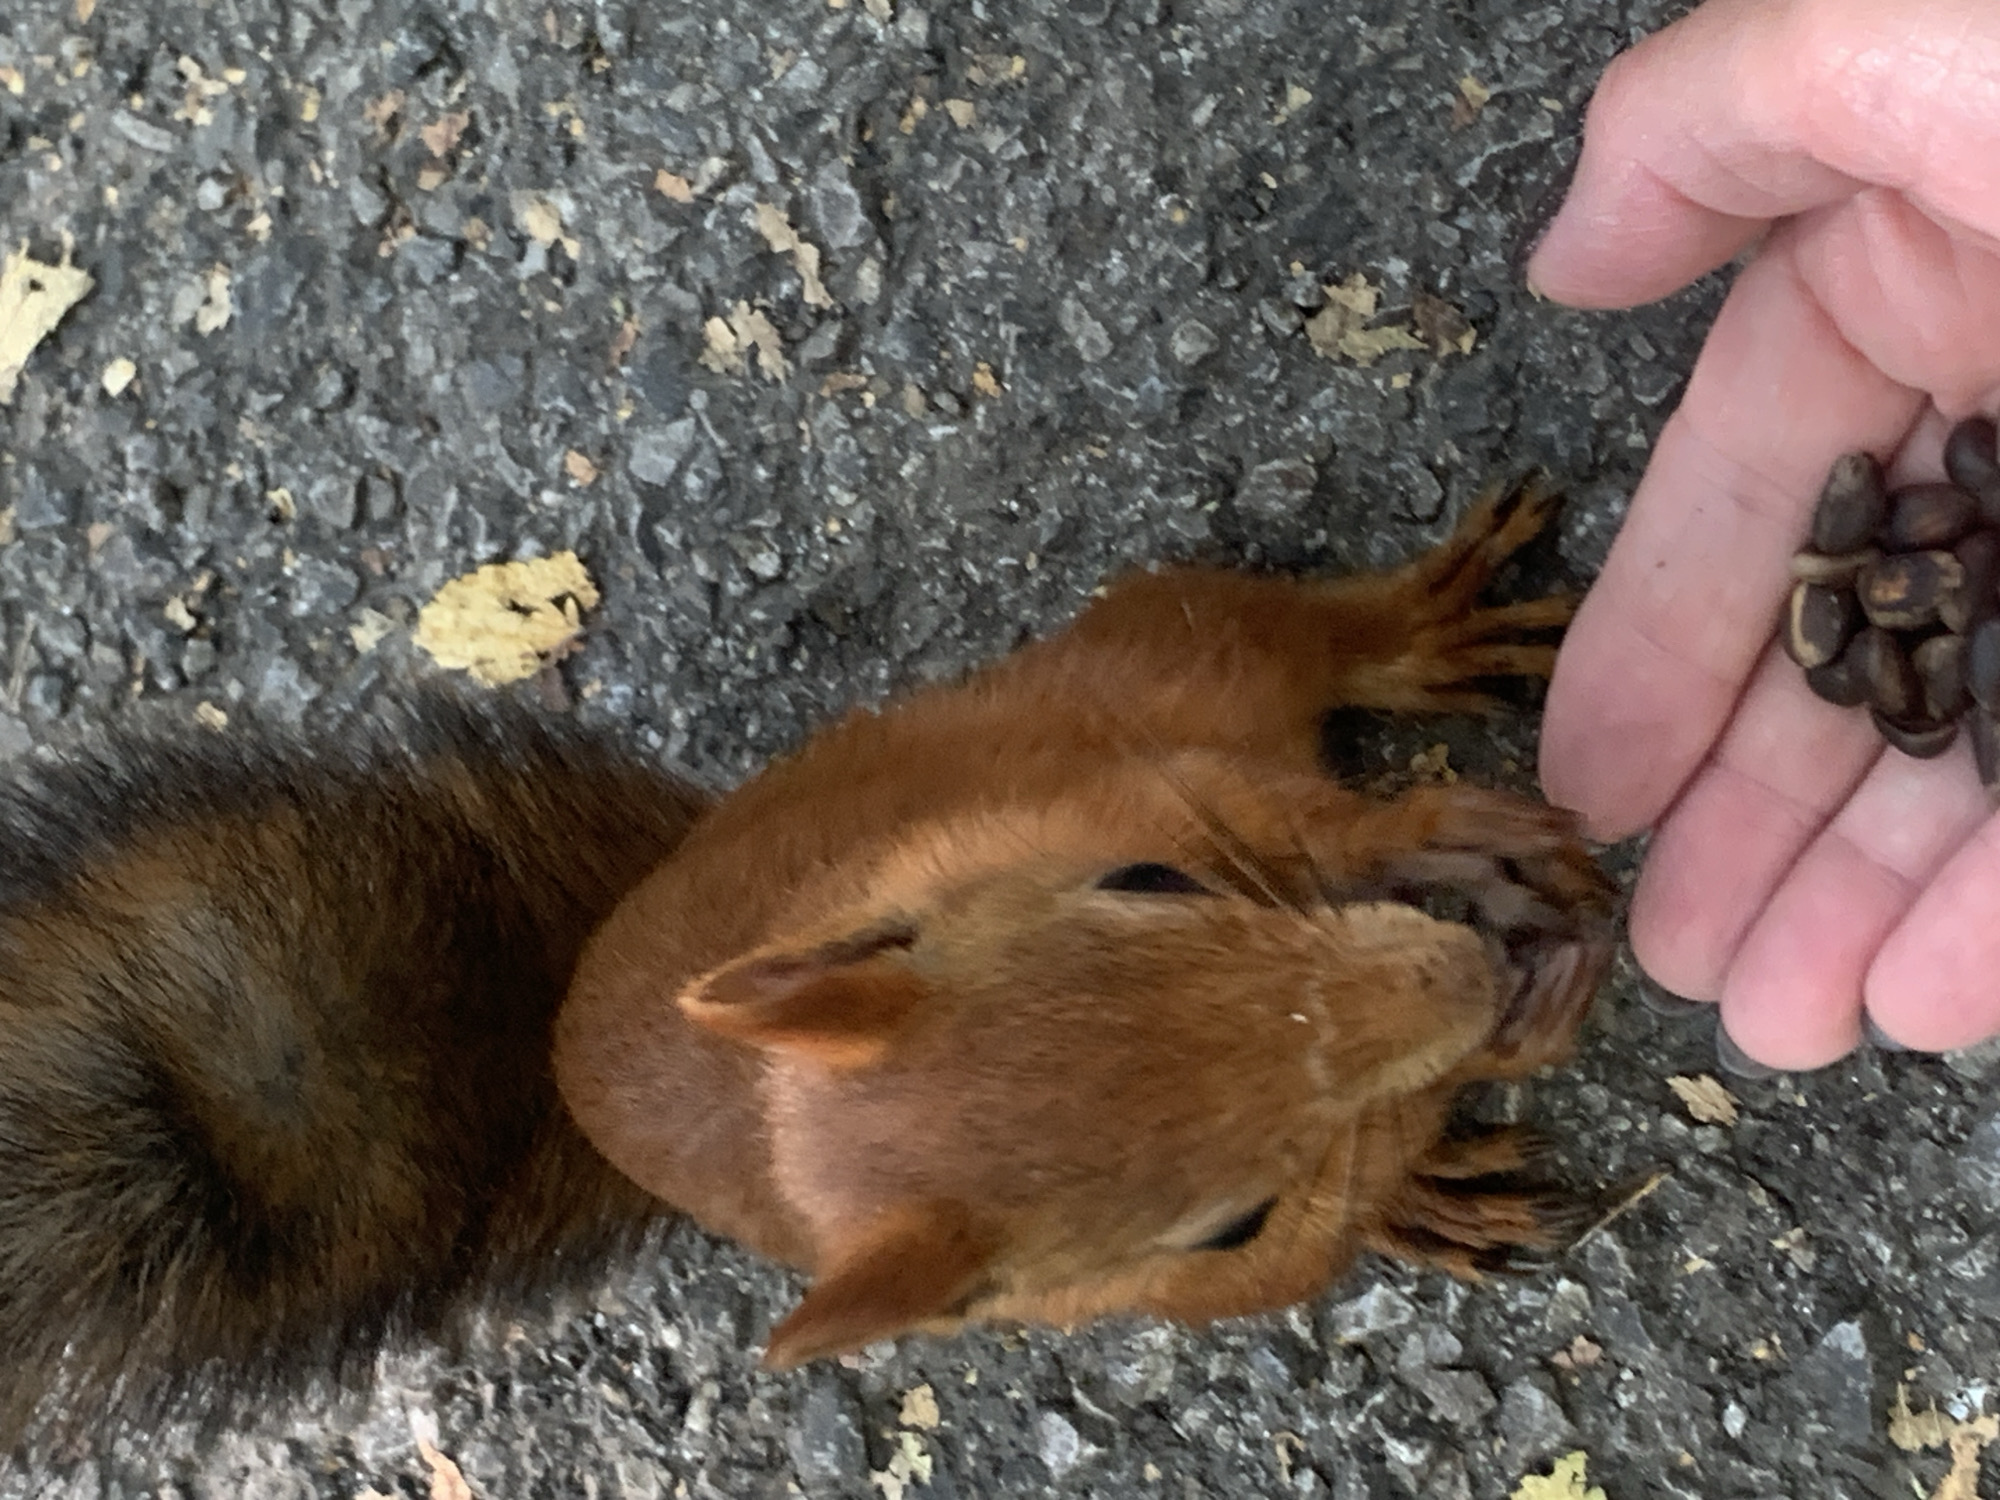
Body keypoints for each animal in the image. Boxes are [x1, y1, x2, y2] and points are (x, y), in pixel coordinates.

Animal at [0, 475, 1614, 1451]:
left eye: (1150, 884)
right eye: (1227, 1225)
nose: (1456, 985)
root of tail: (566, 1033)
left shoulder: (1152, 763)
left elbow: (1308, 775)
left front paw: (1456, 838)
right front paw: (1496, 1038)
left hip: (1125, 663)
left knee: (1279, 634)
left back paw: (1423, 641)